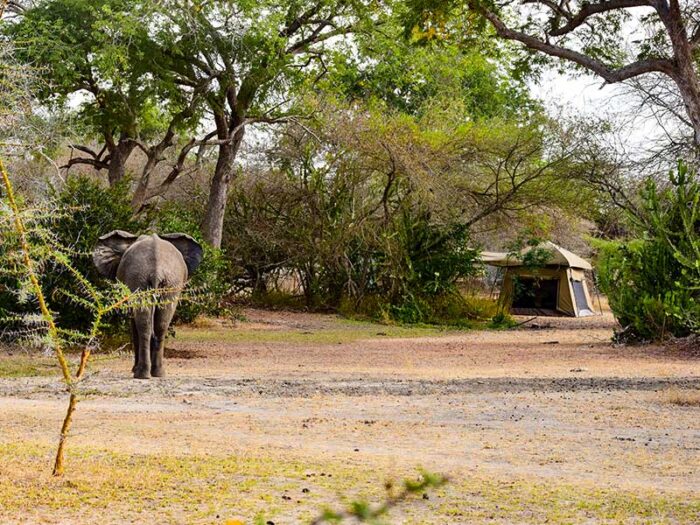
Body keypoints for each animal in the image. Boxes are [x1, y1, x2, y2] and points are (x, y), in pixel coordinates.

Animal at [93, 231, 202, 378]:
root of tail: (156, 270)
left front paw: (134, 369)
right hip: (169, 282)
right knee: (160, 324)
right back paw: (157, 373)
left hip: (141, 278)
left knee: (144, 325)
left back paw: (140, 373)